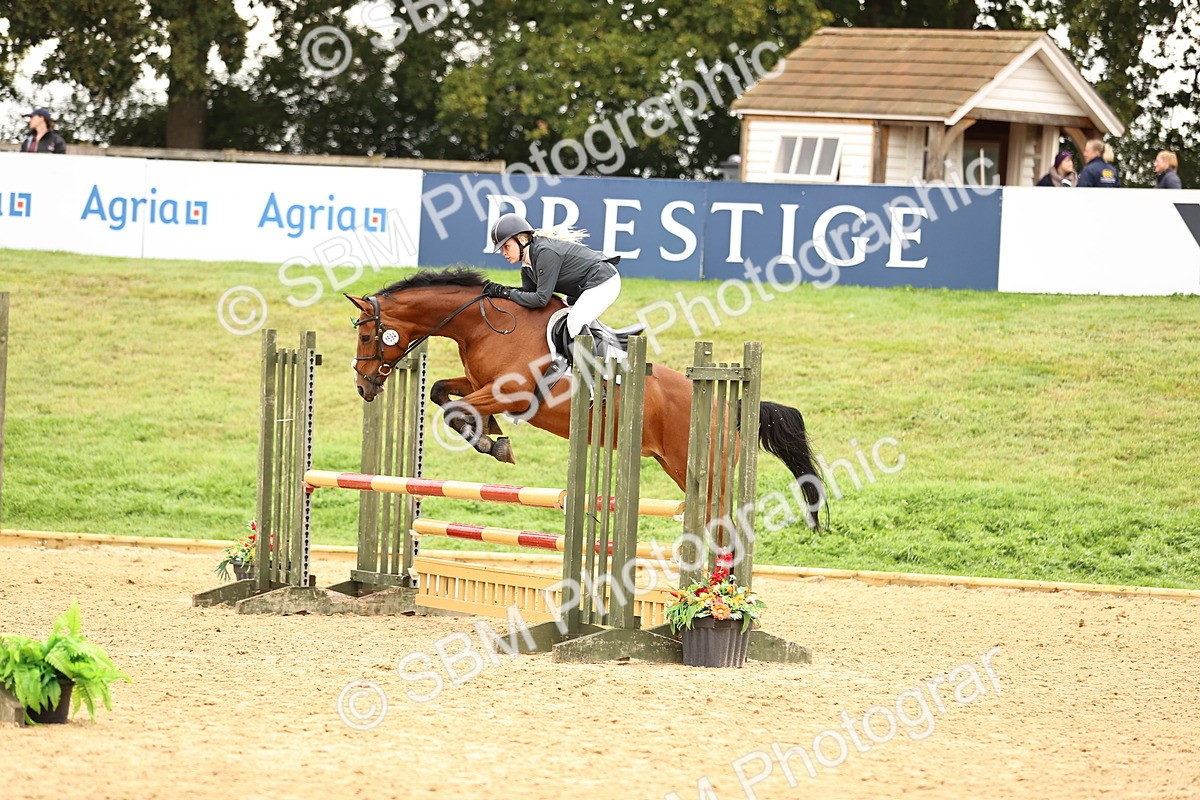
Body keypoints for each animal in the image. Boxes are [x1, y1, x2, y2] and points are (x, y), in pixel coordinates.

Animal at [346, 268, 824, 529]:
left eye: (368, 335)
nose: (364, 387)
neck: (485, 324)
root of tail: (733, 403)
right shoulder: (479, 383)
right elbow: (441, 393)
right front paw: (491, 439)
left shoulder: (512, 394)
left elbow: (455, 410)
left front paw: (491, 441)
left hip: (701, 468)